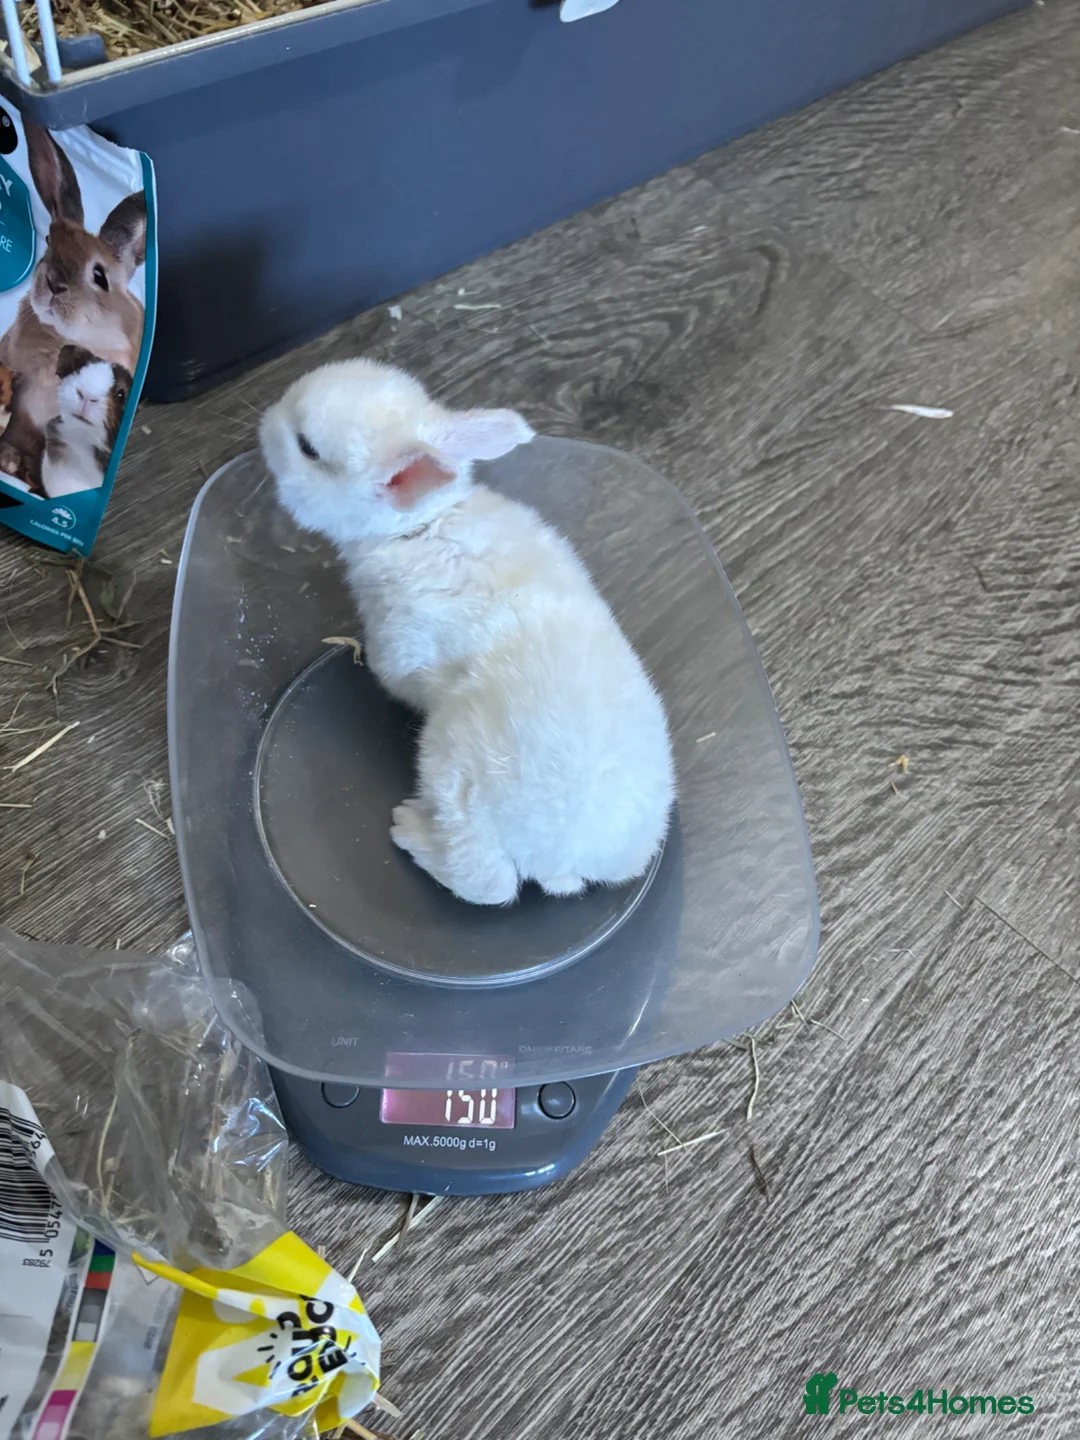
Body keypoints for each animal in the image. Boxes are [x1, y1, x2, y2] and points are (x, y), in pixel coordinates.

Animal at [260, 358, 676, 907]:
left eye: (307, 447)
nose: (265, 418)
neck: (422, 526)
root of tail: (563, 861)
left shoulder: (400, 649)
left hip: (453, 774)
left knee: (487, 881)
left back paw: (410, 829)